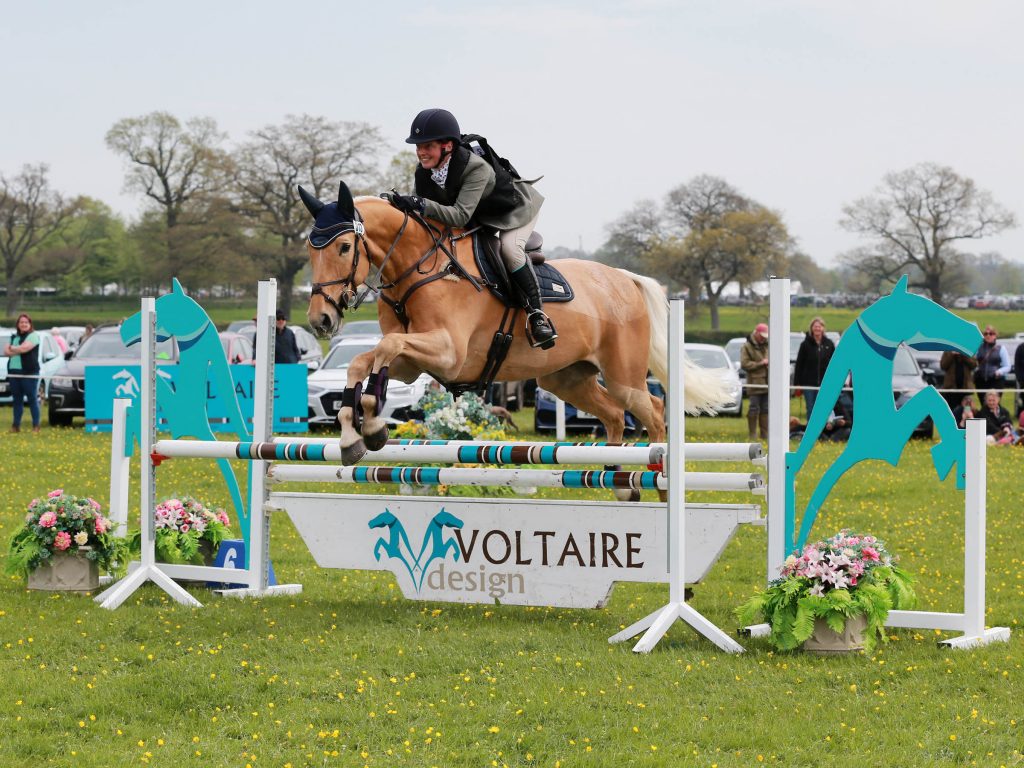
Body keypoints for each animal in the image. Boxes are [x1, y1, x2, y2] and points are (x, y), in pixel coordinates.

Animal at [296, 183, 729, 466]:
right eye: (309, 251)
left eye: (345, 247)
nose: (320, 319)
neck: (418, 267)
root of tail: (625, 278)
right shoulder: (413, 362)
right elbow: (363, 360)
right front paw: (354, 434)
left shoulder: (448, 354)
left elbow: (383, 350)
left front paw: (370, 425)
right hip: (567, 378)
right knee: (611, 415)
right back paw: (620, 484)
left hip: (624, 376)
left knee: (653, 410)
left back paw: (656, 478)